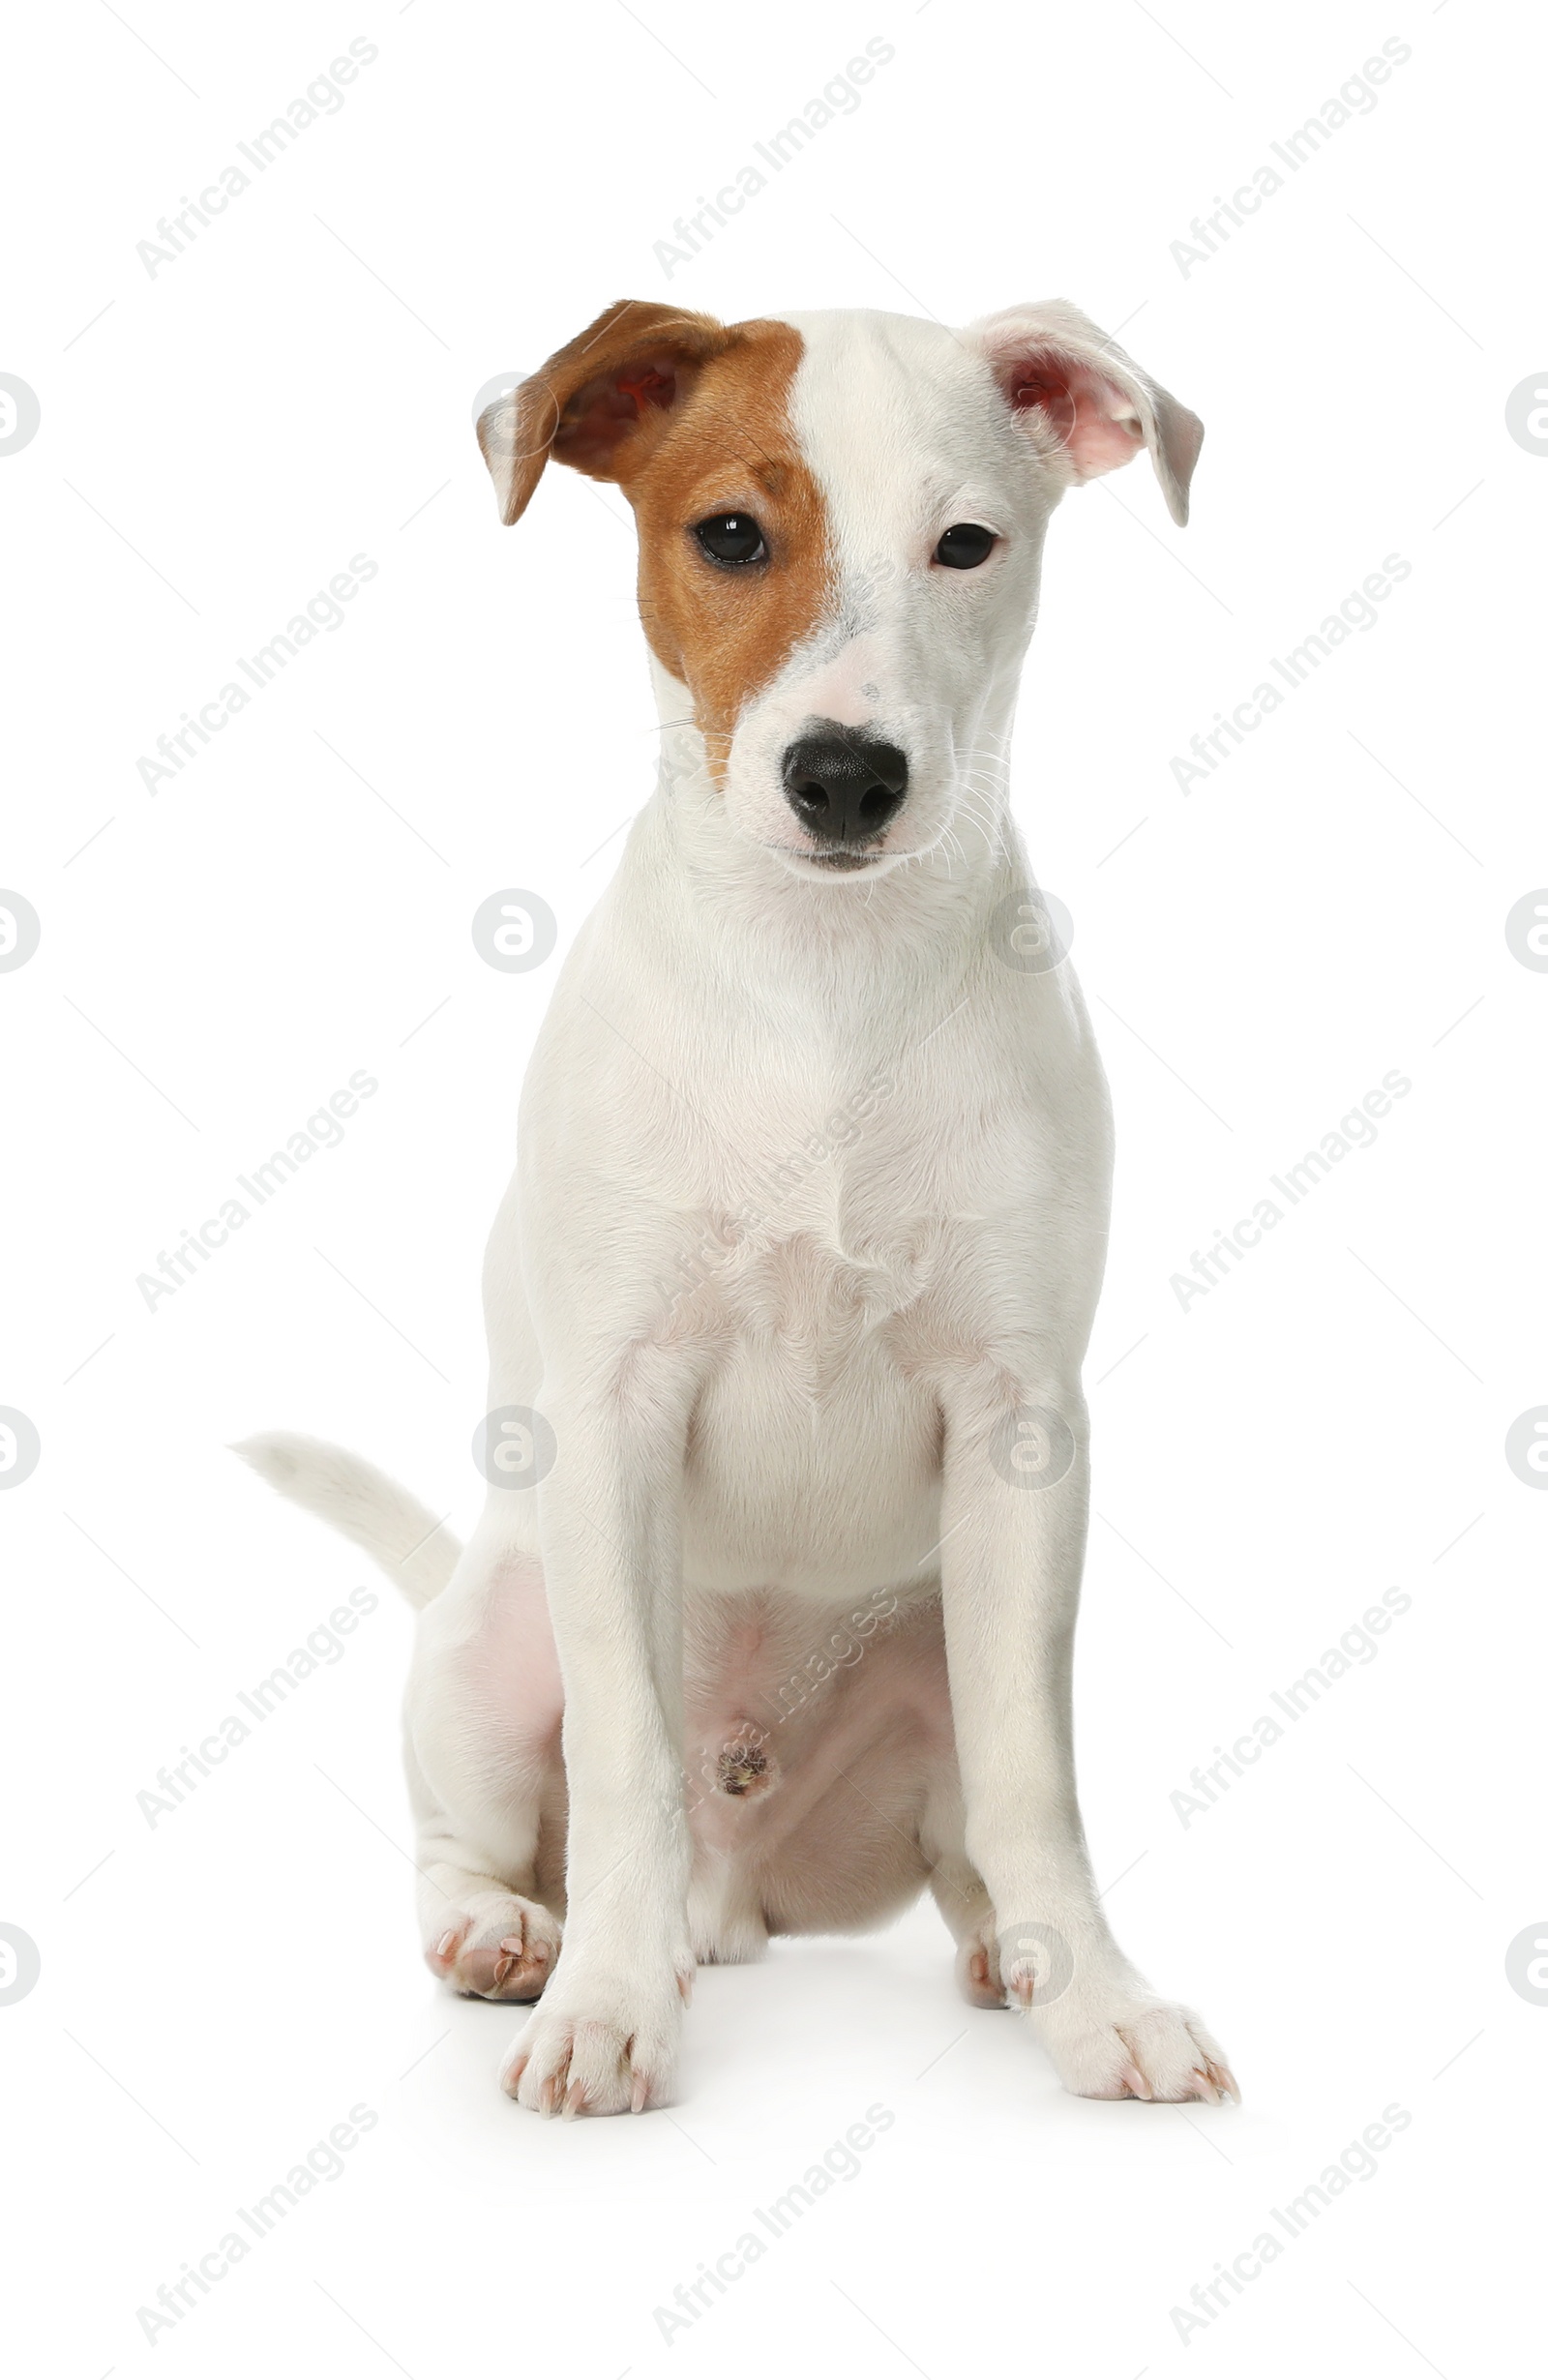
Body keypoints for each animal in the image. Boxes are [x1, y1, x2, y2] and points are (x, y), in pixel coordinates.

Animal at [240, 302, 1238, 2123]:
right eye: (728, 536)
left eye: (966, 545)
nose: (847, 775)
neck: (823, 989)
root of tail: (744, 1894)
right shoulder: (616, 1416)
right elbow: (627, 1753)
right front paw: (606, 2009)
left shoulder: (1021, 1431)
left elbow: (1034, 1776)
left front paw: (1096, 1999)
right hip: (491, 1633)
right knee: (478, 1828)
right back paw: (513, 1935)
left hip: (926, 1643)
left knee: (970, 1834)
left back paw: (996, 1956)